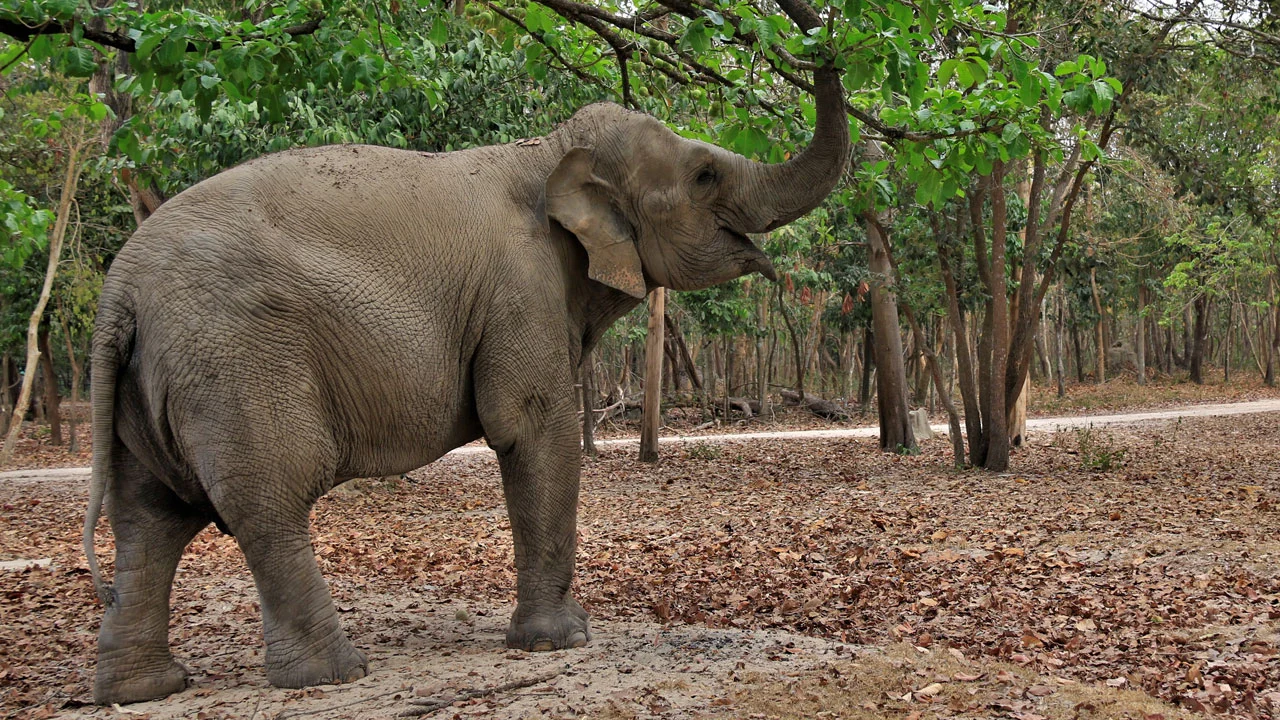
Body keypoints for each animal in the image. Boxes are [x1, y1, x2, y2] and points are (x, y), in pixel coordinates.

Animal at [82, 50, 849, 709]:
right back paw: (336, 674)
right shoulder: (521, 285)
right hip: (236, 362)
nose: (824, 46)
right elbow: (532, 427)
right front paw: (559, 643)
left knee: (147, 520)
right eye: (705, 176)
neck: (546, 150)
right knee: (266, 502)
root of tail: (119, 290)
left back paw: (145, 690)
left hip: (149, 385)